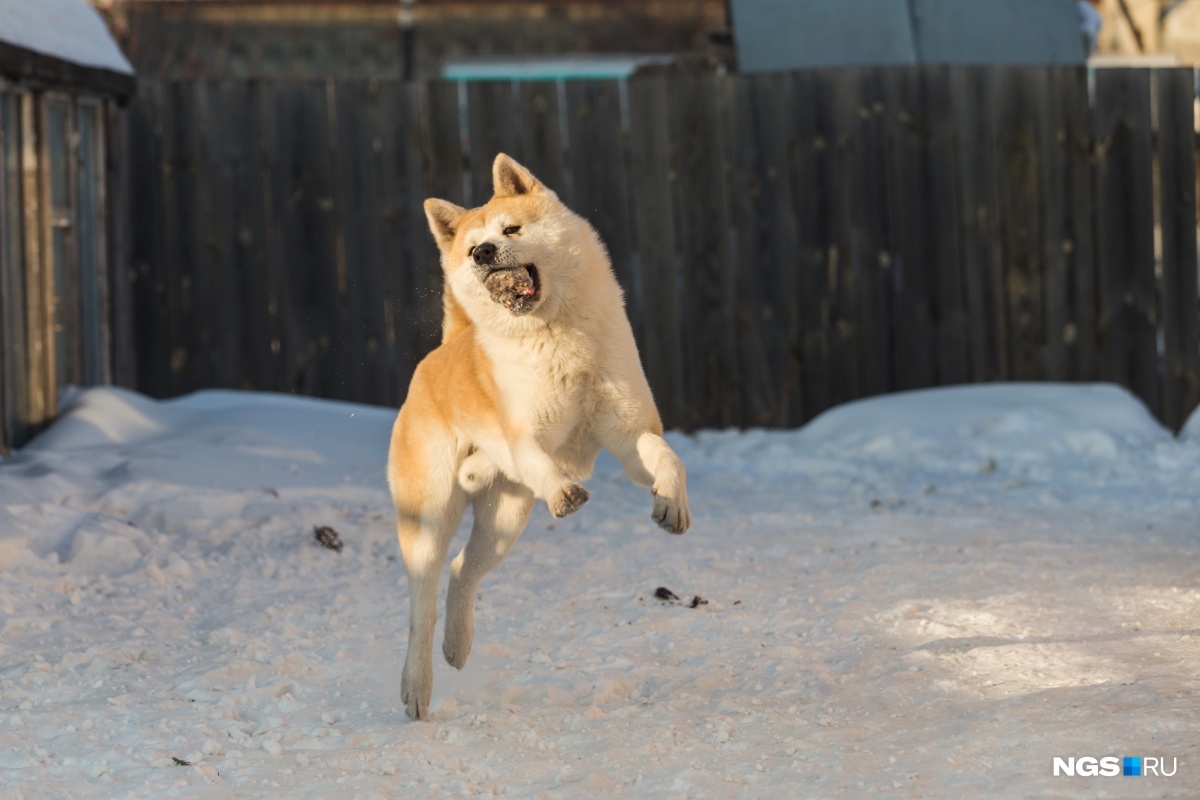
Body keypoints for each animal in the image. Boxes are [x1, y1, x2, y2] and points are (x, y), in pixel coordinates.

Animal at [391, 154, 696, 719]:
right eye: (473, 246)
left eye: (512, 229)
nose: (484, 253)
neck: (556, 335)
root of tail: (442, 351)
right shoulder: (525, 434)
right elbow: (538, 460)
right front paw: (564, 492)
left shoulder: (629, 433)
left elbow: (664, 457)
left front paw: (671, 504)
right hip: (427, 517)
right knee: (422, 604)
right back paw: (416, 687)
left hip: (504, 521)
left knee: (464, 568)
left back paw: (457, 646)